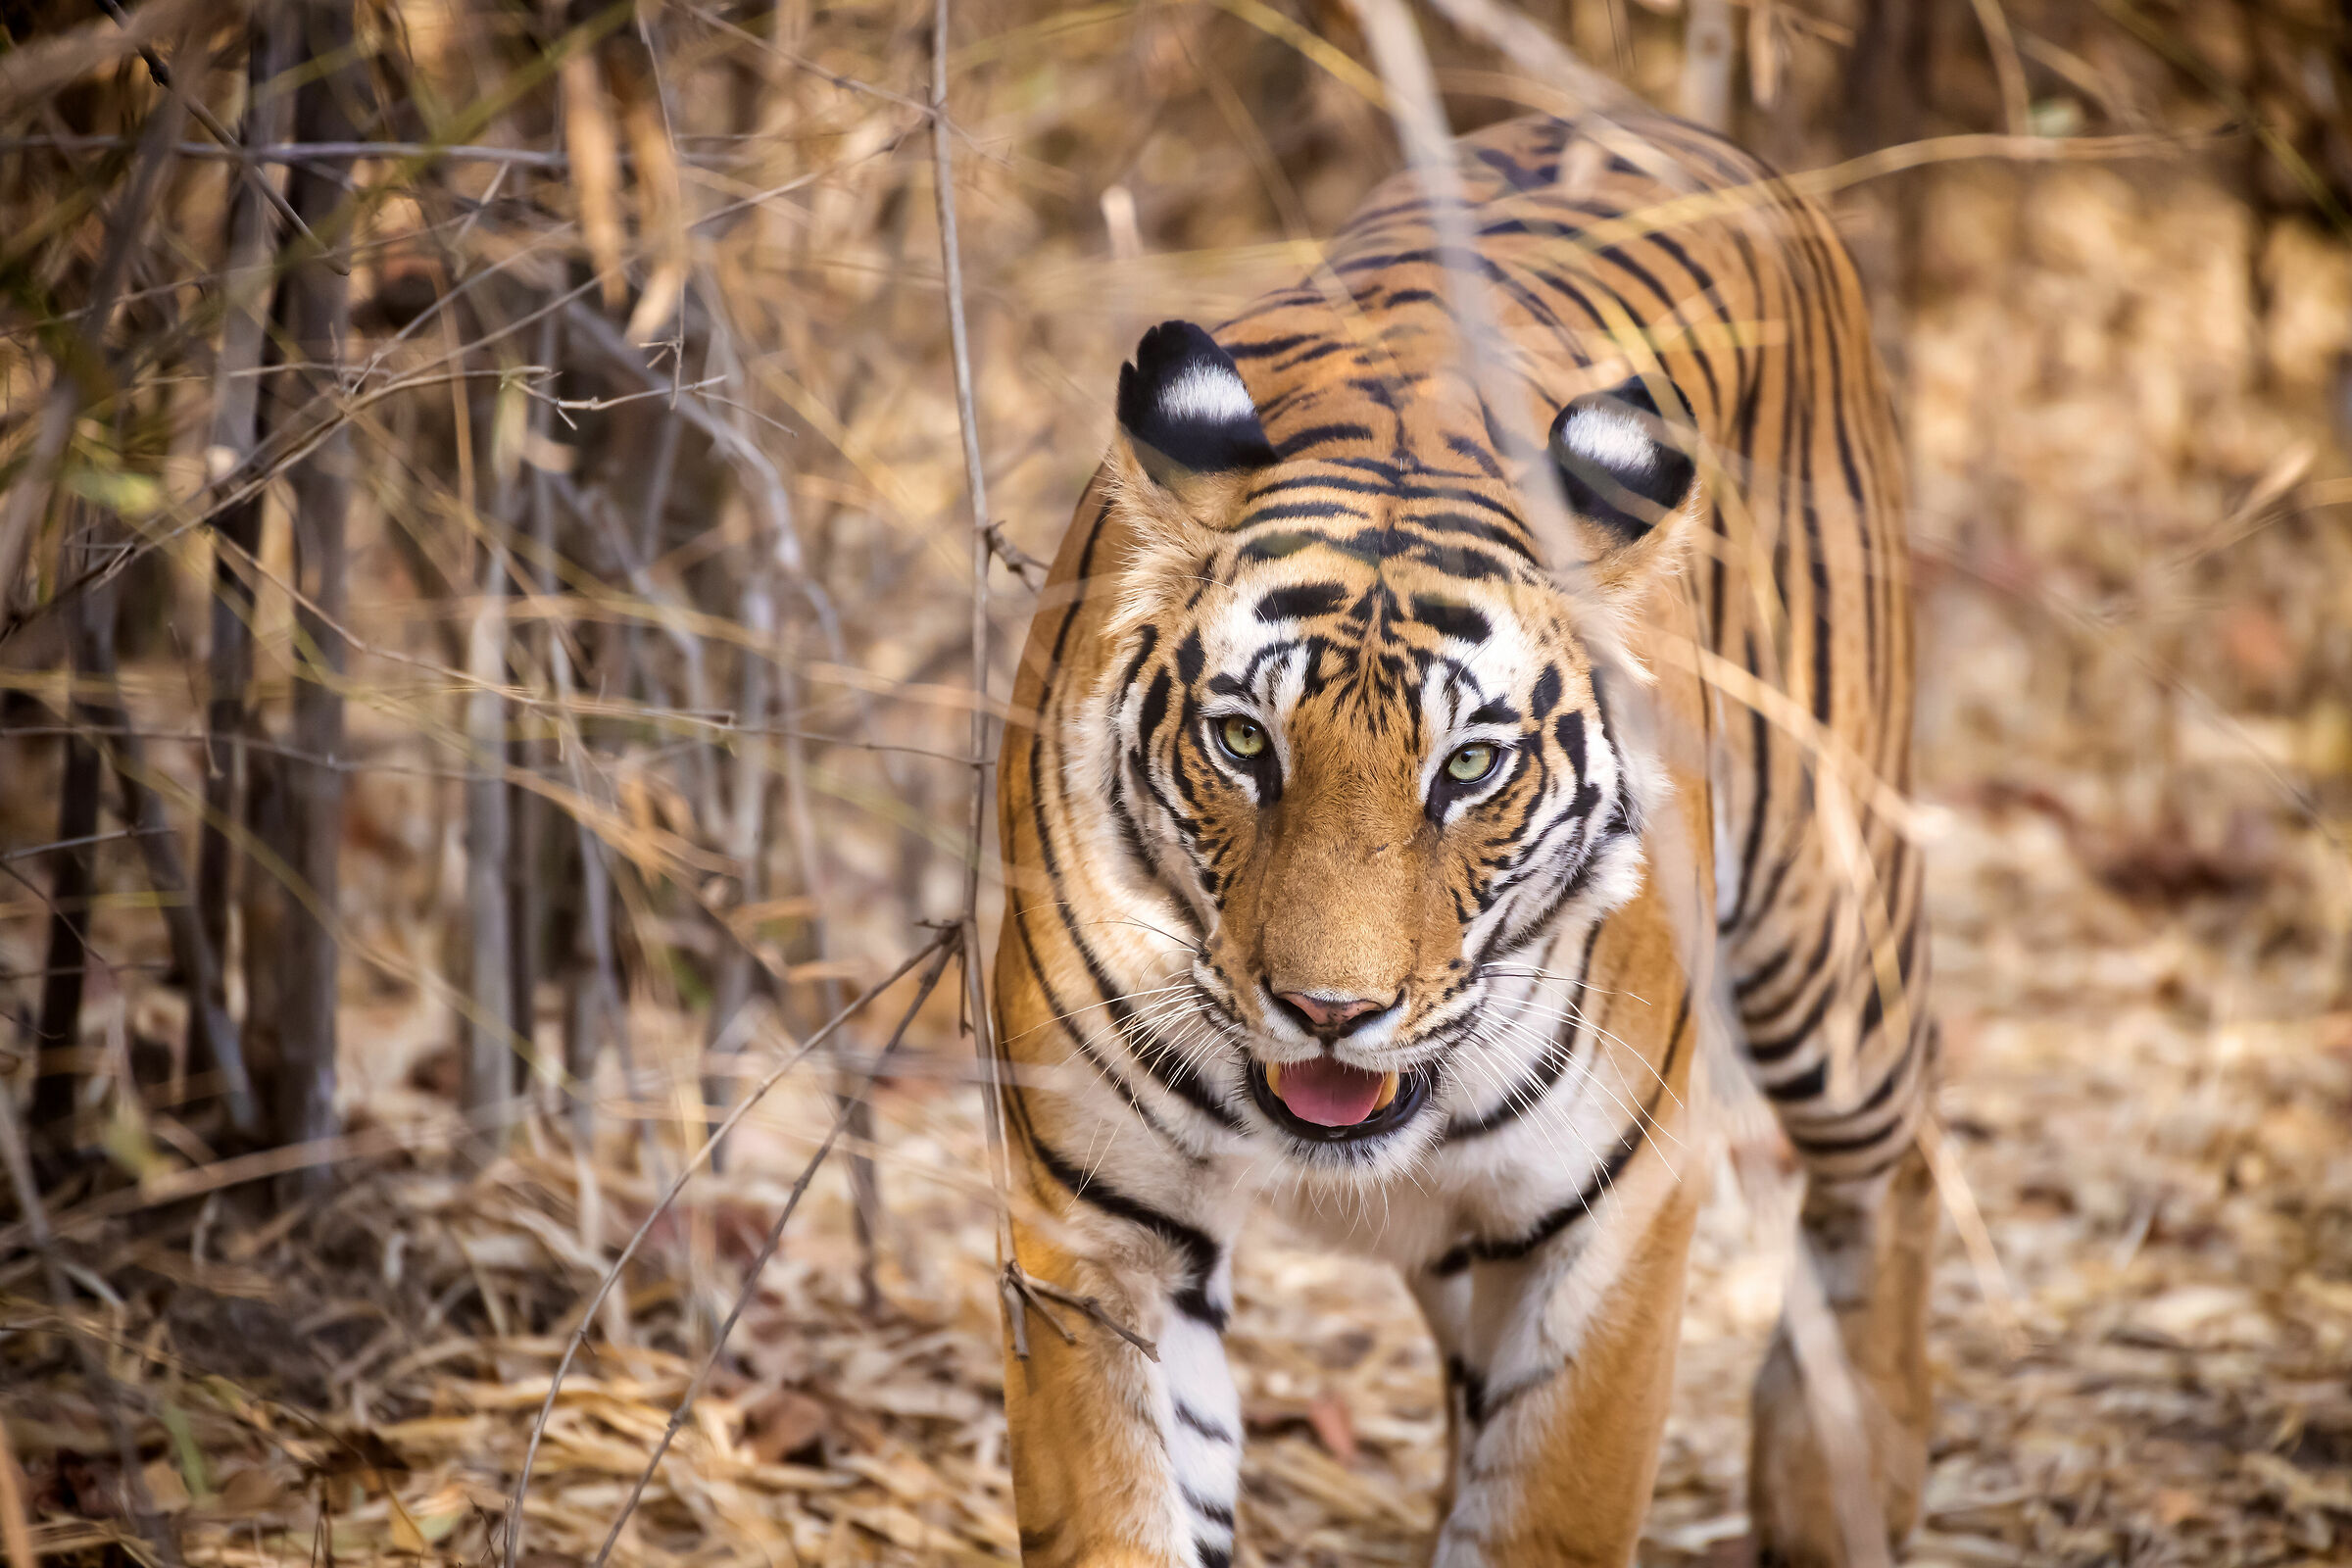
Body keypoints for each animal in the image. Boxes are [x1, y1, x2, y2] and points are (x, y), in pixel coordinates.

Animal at [989, 105, 1937, 1568]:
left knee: (1902, 1155)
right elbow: (1128, 1512)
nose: (1328, 1012)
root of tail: (1654, 121)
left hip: (1825, 937)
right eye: (1244, 744)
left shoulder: (1611, 1229)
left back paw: (1844, 1487)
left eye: (1471, 767)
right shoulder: (1098, 1231)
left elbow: (1547, 1507)